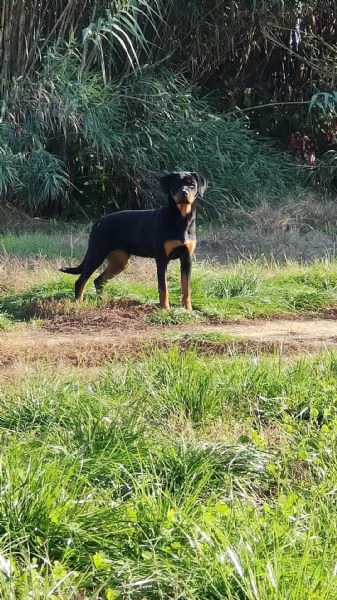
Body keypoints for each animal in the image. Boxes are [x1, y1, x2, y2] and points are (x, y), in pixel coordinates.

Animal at [60, 170, 207, 308]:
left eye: (192, 185)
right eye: (176, 184)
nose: (184, 193)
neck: (181, 219)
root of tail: (98, 222)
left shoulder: (186, 259)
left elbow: (186, 288)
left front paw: (188, 309)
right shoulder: (161, 259)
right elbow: (163, 288)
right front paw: (165, 308)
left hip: (121, 261)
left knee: (99, 280)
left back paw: (102, 301)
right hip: (97, 253)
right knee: (81, 281)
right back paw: (79, 303)